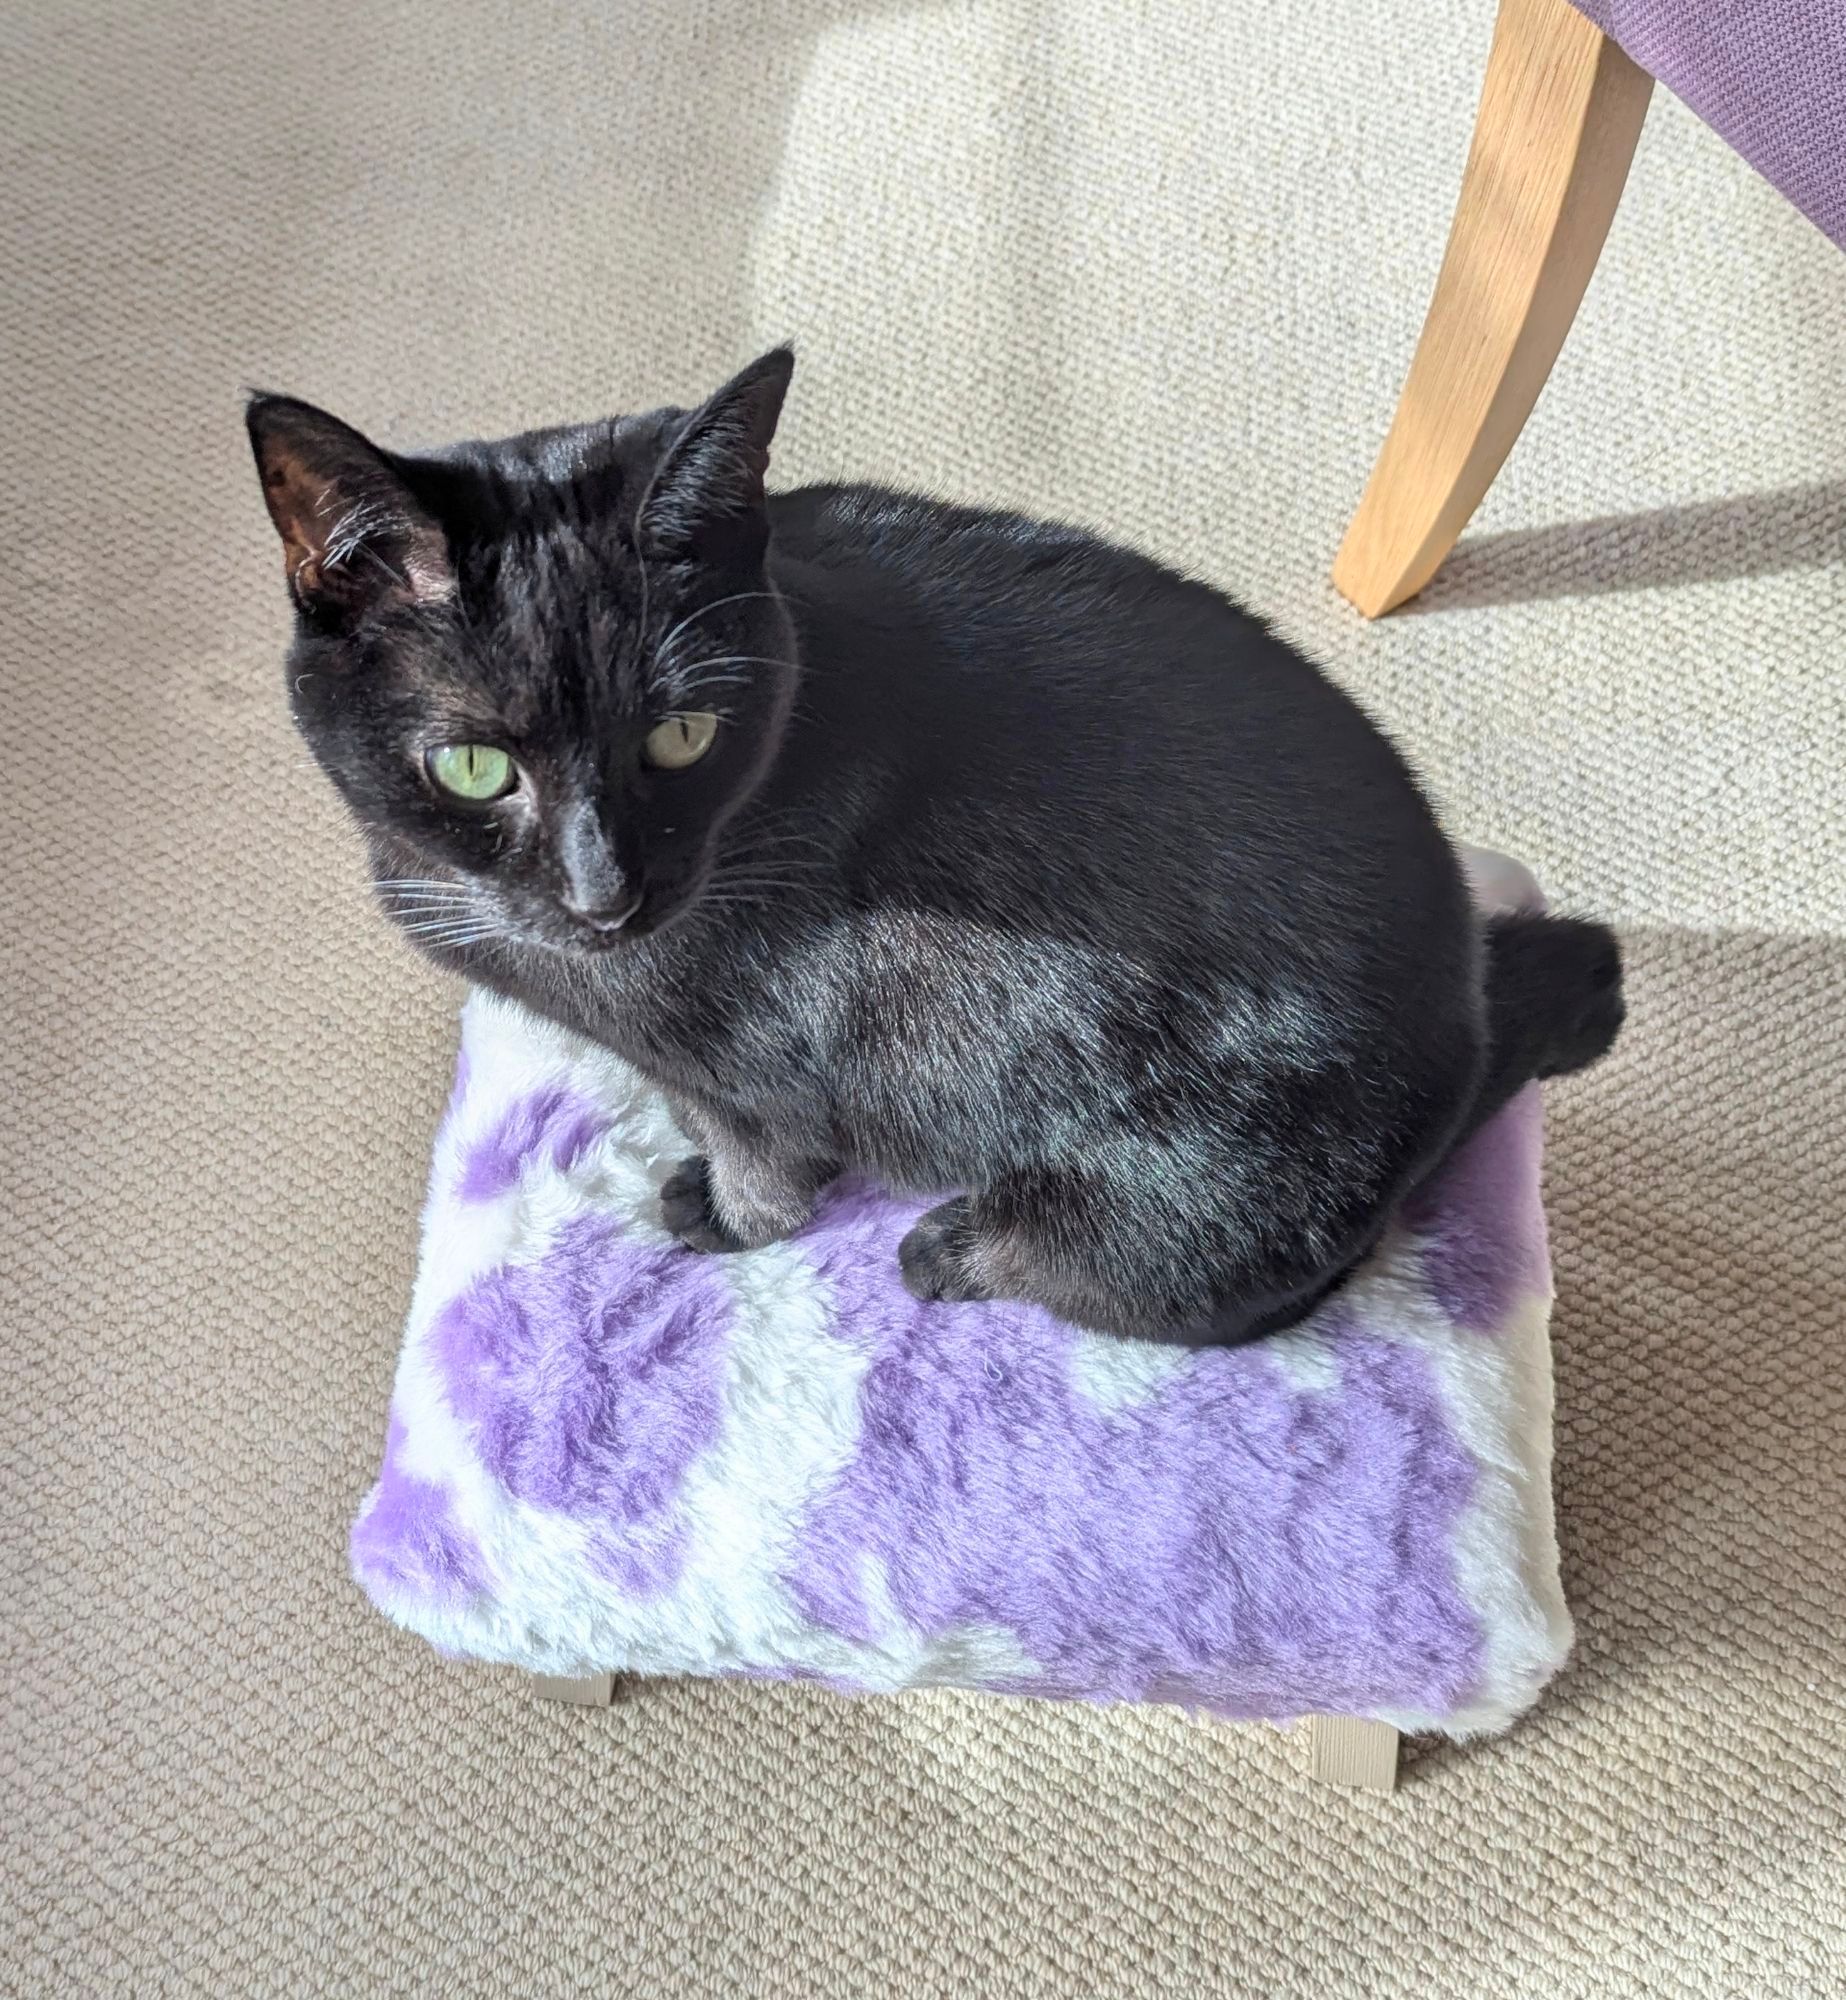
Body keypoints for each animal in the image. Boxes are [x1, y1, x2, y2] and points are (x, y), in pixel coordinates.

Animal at [245, 350, 1616, 1336]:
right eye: (475, 766)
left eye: (682, 734)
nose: (605, 895)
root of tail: (1471, 1013)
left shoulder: (749, 1065)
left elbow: (757, 1161)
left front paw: (722, 1212)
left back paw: (952, 1246)